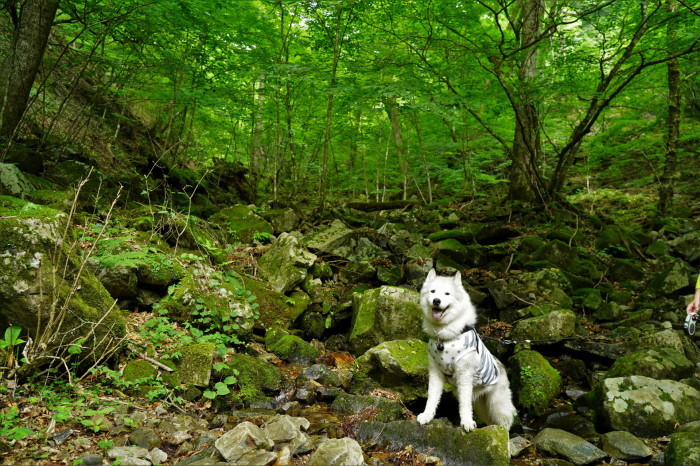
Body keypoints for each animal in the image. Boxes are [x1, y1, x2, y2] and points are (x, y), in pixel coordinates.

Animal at [416, 272, 516, 432]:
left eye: (447, 294)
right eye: (433, 292)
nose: (436, 301)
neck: (443, 337)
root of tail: (501, 366)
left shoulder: (464, 376)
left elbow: (464, 404)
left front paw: (467, 423)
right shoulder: (435, 374)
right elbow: (432, 397)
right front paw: (427, 415)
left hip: (497, 406)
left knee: (505, 425)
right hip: (482, 406)